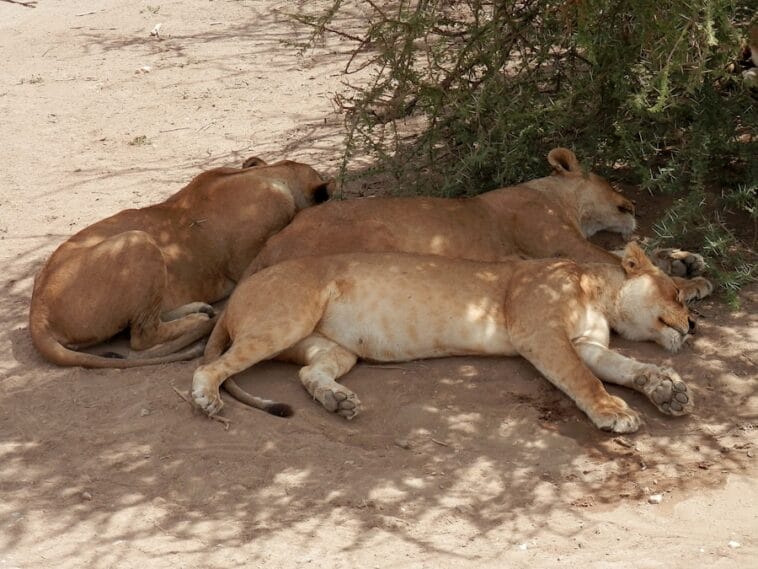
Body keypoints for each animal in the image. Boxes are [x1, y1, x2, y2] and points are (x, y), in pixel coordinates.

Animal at [29, 156, 332, 368]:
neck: (271, 173)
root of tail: (37, 312)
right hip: (139, 242)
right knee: (142, 336)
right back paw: (197, 319)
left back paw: (199, 309)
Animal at [191, 243, 703, 433]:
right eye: (679, 293)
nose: (695, 326)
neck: (599, 291)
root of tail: (236, 296)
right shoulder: (539, 333)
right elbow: (584, 380)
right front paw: (614, 412)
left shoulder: (587, 345)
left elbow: (626, 368)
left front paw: (667, 389)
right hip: (286, 318)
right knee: (207, 367)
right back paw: (206, 400)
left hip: (331, 348)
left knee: (308, 373)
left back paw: (339, 402)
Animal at [244, 148, 710, 297]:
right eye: (609, 179)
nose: (633, 204)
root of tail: (268, 246)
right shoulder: (562, 242)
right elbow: (614, 258)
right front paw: (686, 284)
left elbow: (628, 253)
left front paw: (685, 260)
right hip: (376, 233)